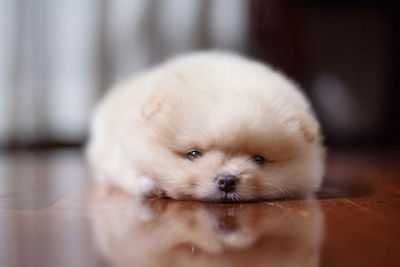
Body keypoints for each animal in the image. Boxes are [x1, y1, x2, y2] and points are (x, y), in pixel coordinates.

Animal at [86, 51, 324, 203]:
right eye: (193, 154)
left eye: (259, 159)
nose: (227, 180)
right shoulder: (117, 154)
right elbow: (131, 172)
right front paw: (152, 187)